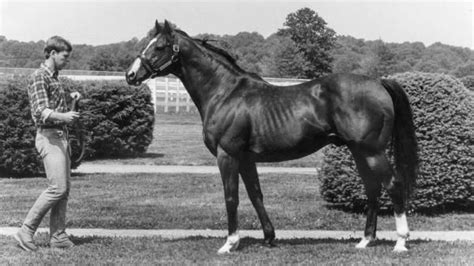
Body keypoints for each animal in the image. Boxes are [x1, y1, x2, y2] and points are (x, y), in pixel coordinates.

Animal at [126, 20, 418, 254]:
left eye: (160, 46)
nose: (131, 74)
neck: (225, 93)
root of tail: (378, 82)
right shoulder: (246, 159)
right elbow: (256, 195)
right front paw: (269, 237)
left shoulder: (227, 155)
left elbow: (231, 197)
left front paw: (230, 243)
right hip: (359, 152)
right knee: (373, 189)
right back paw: (365, 240)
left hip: (372, 152)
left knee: (393, 185)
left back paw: (401, 242)